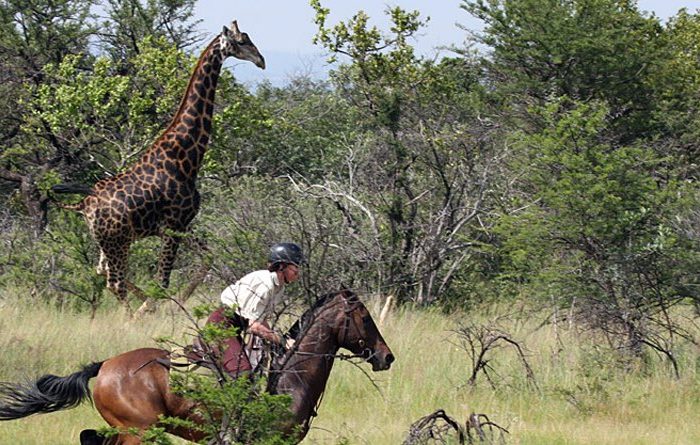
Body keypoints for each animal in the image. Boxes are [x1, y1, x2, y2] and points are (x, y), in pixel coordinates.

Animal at [54, 20, 266, 308]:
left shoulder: (183, 224)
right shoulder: (173, 225)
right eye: (243, 41)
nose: (261, 60)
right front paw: (157, 308)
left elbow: (207, 258)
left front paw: (175, 303)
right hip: (118, 242)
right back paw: (134, 314)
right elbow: (163, 281)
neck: (185, 156)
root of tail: (83, 205)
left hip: (107, 242)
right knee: (115, 282)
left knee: (103, 271)